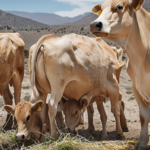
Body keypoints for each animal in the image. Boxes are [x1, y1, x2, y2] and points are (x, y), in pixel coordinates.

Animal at [89, 0, 150, 148]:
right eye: (101, 9)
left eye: (120, 6)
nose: (94, 24)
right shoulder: (136, 88)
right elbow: (144, 116)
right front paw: (141, 142)